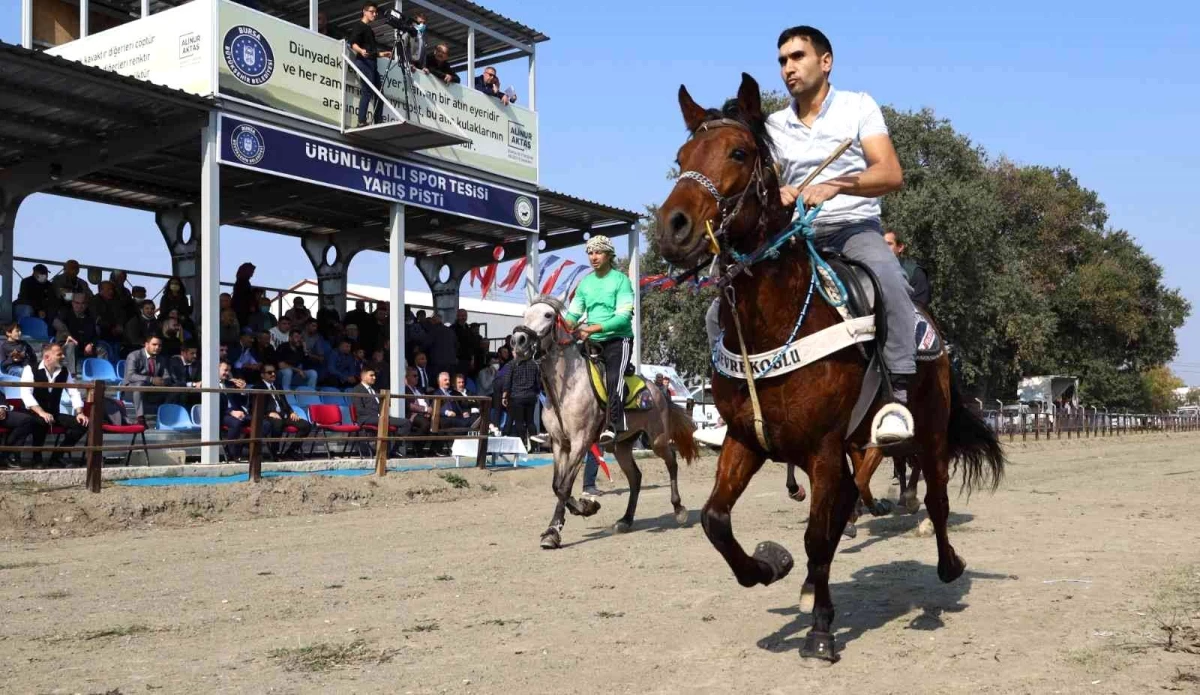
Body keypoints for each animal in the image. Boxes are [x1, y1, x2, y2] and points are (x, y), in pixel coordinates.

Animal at [508, 294, 700, 549]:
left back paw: (679, 509)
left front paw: (564, 524)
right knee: (636, 478)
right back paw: (626, 520)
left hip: (657, 439)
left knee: (672, 462)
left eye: (548, 315)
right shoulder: (560, 444)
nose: (518, 341)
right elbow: (557, 485)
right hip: (621, 446)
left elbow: (564, 486)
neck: (565, 390)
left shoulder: (580, 442)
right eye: (524, 315)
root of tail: (656, 389)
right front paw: (570, 517)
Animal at [657, 74, 1003, 662]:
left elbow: (818, 535)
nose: (672, 227)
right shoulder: (747, 439)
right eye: (681, 157)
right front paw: (771, 566)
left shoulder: (821, 447)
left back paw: (948, 566)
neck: (772, 326)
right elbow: (715, 520)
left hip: (927, 430)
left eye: (739, 152)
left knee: (934, 498)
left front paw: (820, 630)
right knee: (847, 507)